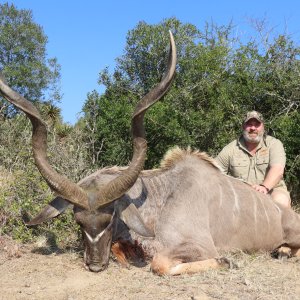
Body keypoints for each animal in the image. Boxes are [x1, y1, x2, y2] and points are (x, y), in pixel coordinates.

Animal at [1, 31, 300, 276]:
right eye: (78, 221)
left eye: (110, 218)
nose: (95, 265)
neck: (162, 199)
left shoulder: (199, 246)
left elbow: (160, 264)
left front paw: (228, 261)